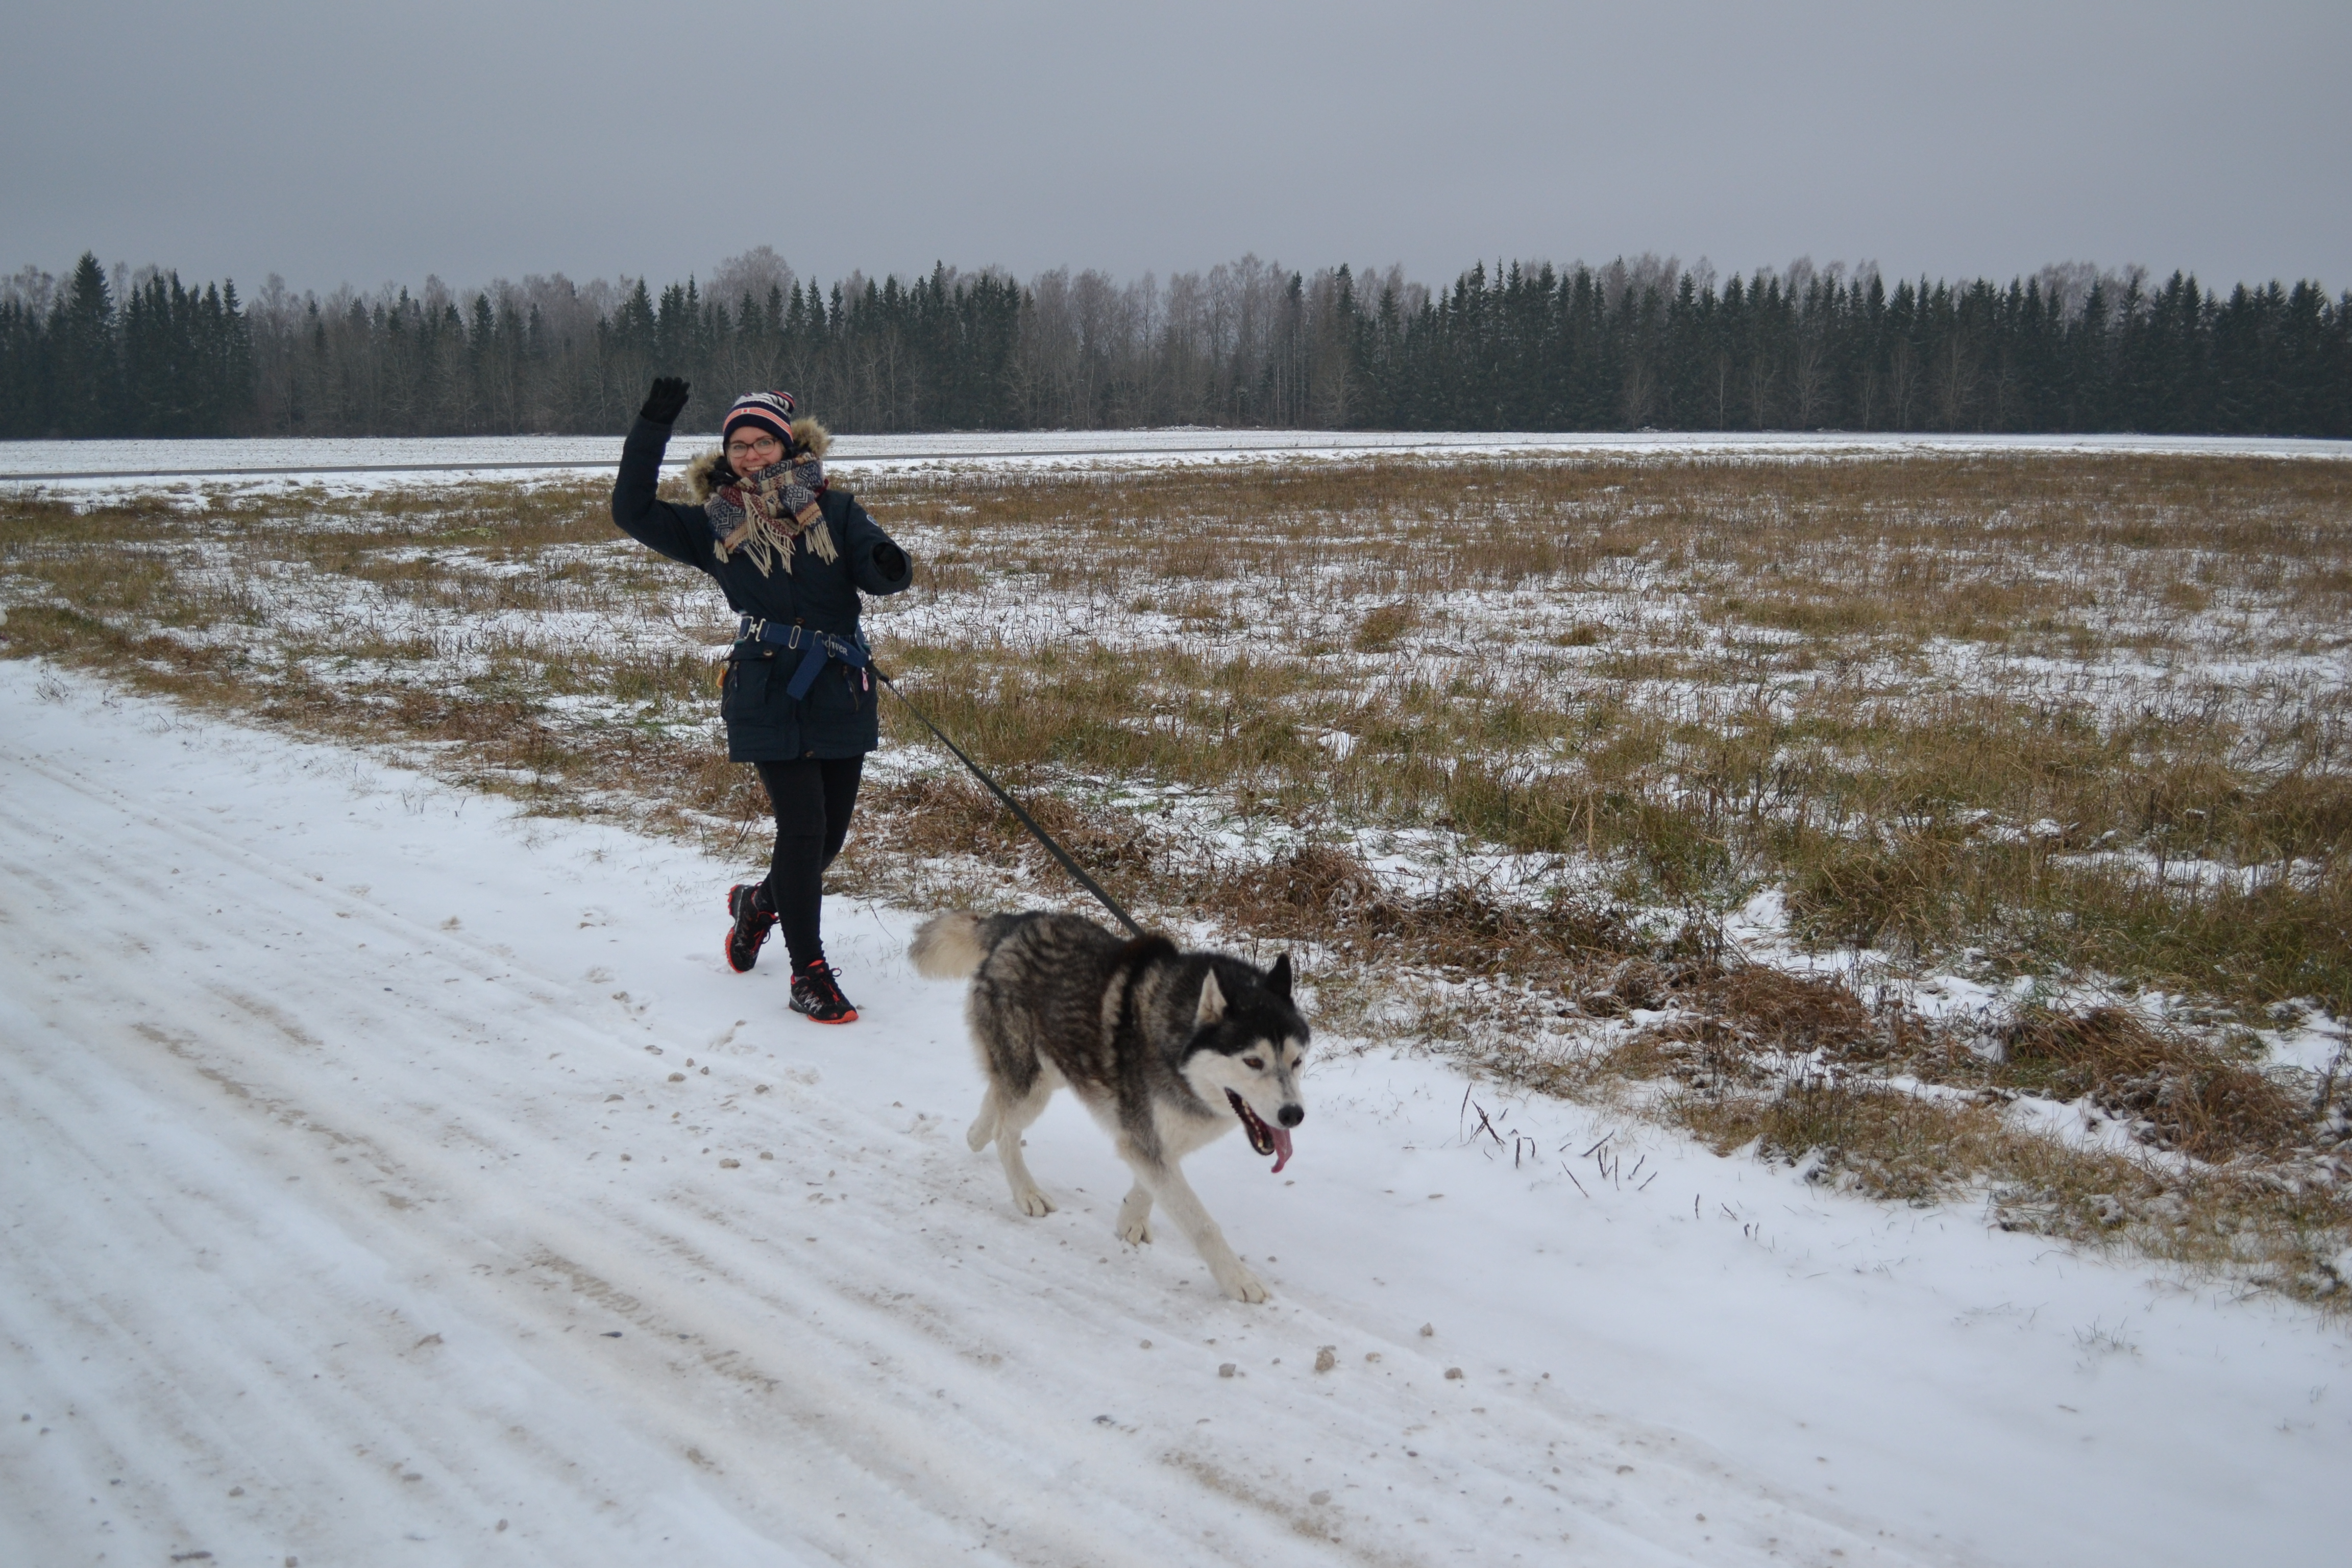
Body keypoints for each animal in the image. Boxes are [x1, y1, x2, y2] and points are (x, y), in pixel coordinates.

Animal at [908, 912, 1308, 1307]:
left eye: (1297, 1061)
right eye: (1253, 1062)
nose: (1293, 1115)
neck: (1177, 1044)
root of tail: (1016, 922)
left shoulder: (1152, 1137)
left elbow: (1149, 1184)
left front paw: (1132, 1217)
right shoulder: (1147, 1137)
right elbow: (1200, 1222)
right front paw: (1239, 1280)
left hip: (1051, 1071)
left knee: (999, 1096)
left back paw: (977, 1133)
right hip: (1034, 1088)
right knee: (1007, 1131)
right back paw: (1026, 1192)